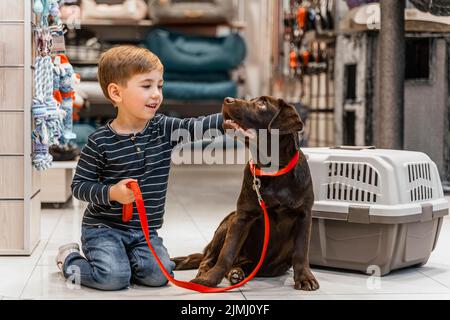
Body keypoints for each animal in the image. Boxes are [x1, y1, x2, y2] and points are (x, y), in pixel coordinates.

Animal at [171, 95, 320, 290]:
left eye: (262, 103)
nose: (227, 99)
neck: (272, 171)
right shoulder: (242, 217)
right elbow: (227, 253)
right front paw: (210, 279)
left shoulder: (304, 215)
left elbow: (301, 251)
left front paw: (304, 278)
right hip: (227, 222)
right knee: (209, 258)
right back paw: (211, 273)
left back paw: (236, 273)